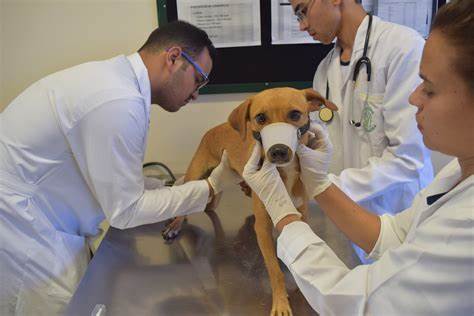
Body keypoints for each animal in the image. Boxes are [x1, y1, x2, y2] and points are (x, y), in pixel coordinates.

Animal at [163, 87, 336, 314]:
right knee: (186, 201)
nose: (278, 151)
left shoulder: (300, 216)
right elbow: (274, 270)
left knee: (211, 201)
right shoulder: (261, 227)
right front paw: (280, 302)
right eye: (260, 118)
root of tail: (217, 127)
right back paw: (175, 224)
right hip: (195, 171)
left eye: (295, 114)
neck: (285, 173)